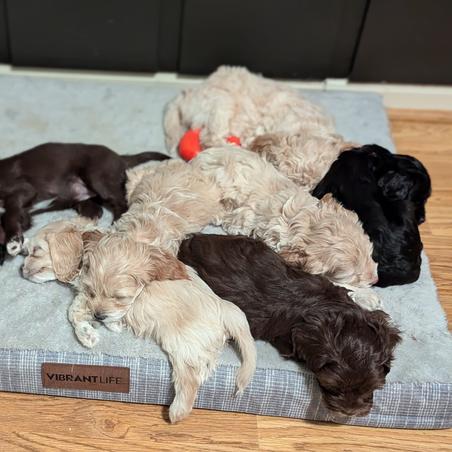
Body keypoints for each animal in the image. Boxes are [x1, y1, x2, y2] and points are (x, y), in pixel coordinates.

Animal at [0, 142, 169, 264]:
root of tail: (119, 157)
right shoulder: (25, 214)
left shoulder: (24, 189)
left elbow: (10, 212)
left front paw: (13, 242)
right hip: (84, 199)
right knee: (96, 212)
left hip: (98, 176)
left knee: (121, 203)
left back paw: (114, 226)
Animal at [22, 220, 256, 423]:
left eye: (35, 251)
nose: (22, 269)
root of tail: (226, 309)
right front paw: (108, 325)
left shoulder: (89, 298)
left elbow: (74, 311)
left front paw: (88, 334)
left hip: (181, 342)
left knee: (190, 378)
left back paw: (176, 412)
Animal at [191, 147, 379, 303]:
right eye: (353, 275)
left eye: (370, 254)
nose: (375, 279)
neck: (304, 222)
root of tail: (197, 159)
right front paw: (368, 296)